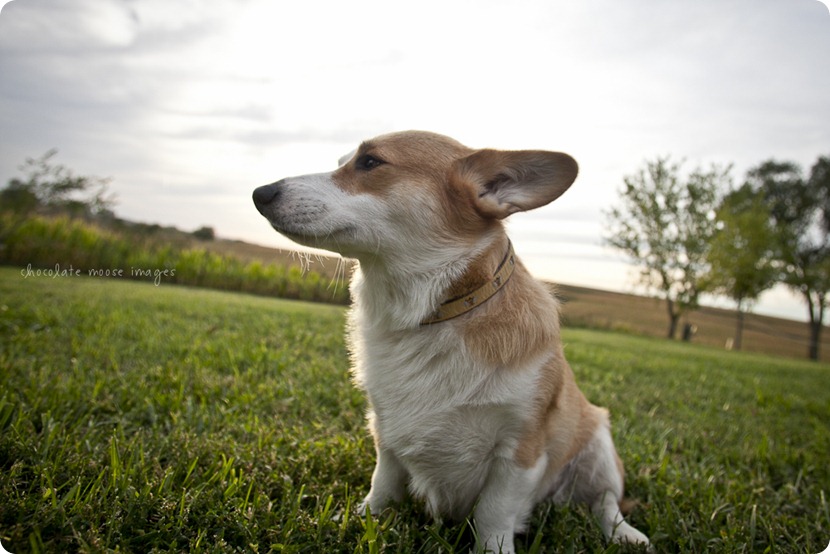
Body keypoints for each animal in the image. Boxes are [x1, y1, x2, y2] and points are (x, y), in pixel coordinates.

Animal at [250, 132, 652, 548]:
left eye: (370, 162)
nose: (259, 193)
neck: (431, 316)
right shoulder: (385, 433)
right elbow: (383, 485)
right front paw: (361, 519)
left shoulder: (519, 451)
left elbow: (493, 514)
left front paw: (493, 551)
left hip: (599, 445)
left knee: (605, 501)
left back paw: (626, 534)